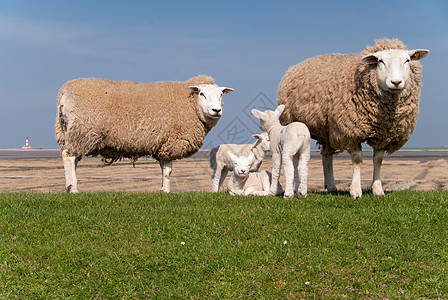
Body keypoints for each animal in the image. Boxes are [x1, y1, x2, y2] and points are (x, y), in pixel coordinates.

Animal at [278, 38, 428, 199]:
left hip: (327, 129)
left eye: (407, 60)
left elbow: (378, 161)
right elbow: (357, 161)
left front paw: (377, 190)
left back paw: (331, 186)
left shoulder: (383, 134)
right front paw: (355, 191)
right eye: (380, 61)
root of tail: (292, 68)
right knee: (295, 157)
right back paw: (295, 188)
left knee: (327, 155)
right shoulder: (351, 132)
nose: (396, 82)